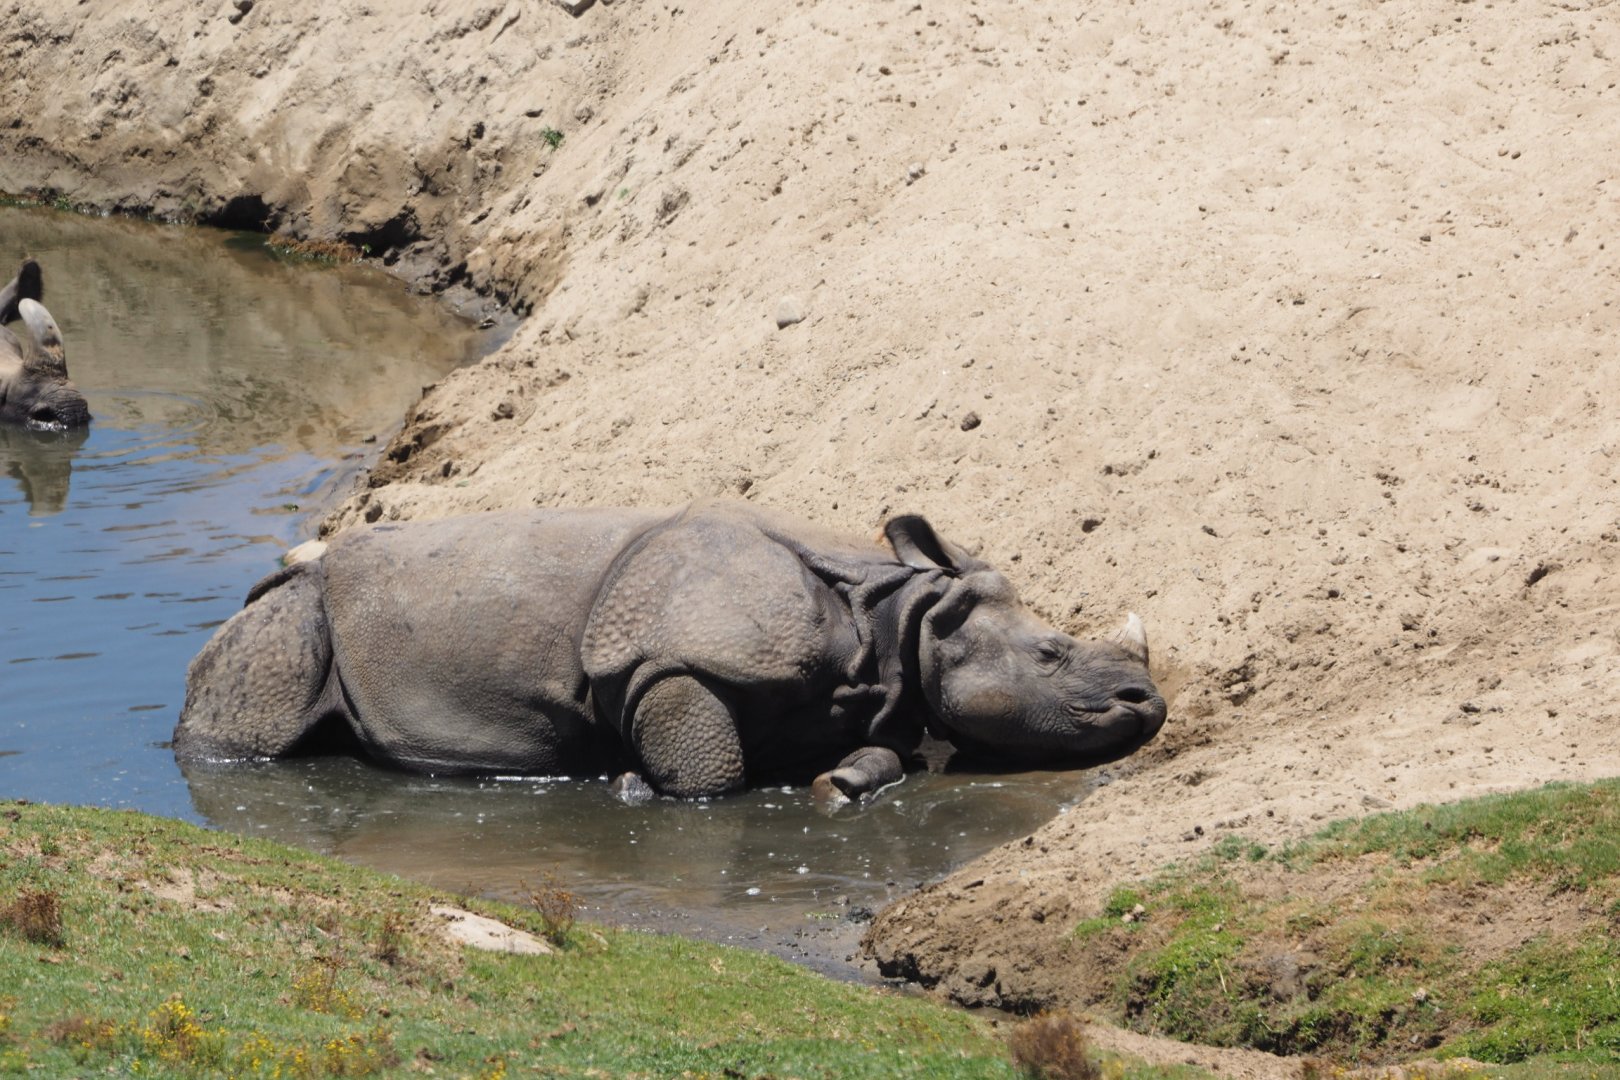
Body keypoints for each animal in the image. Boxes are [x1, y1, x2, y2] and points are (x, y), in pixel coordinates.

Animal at [175, 501, 1167, 802]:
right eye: (1051, 655)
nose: (1147, 704)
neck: (895, 618)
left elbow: (885, 752)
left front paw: (846, 783)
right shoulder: (677, 660)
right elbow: (708, 772)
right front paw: (632, 784)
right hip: (297, 611)